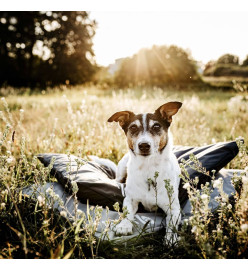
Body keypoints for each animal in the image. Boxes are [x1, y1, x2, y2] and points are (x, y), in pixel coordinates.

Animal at [107, 101, 183, 243]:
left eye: (156, 126)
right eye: (133, 127)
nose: (143, 145)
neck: (148, 167)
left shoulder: (173, 207)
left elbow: (172, 224)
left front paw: (171, 238)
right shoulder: (130, 199)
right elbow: (127, 212)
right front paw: (124, 225)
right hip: (122, 168)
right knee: (117, 179)